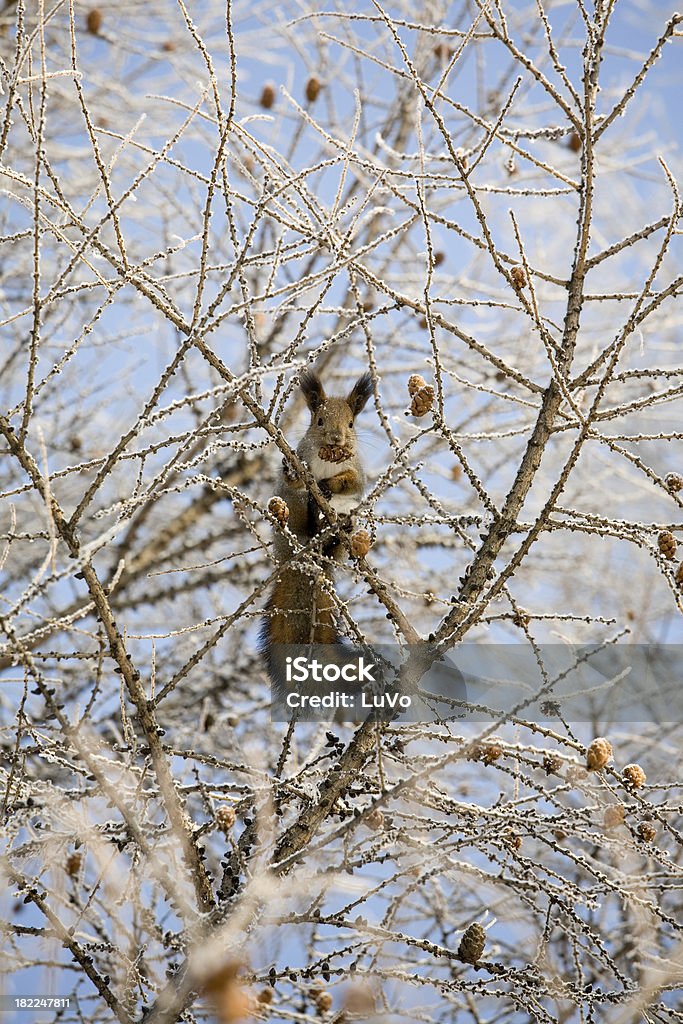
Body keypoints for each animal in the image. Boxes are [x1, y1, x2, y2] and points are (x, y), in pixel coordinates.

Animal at [260, 368, 374, 696]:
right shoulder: (301, 457)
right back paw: (311, 511)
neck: (328, 457)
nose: (336, 438)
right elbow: (296, 476)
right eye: (319, 420)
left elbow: (351, 481)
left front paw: (329, 484)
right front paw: (295, 473)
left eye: (351, 423)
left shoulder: (356, 472)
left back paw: (338, 527)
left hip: (346, 522)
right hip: (291, 508)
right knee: (298, 509)